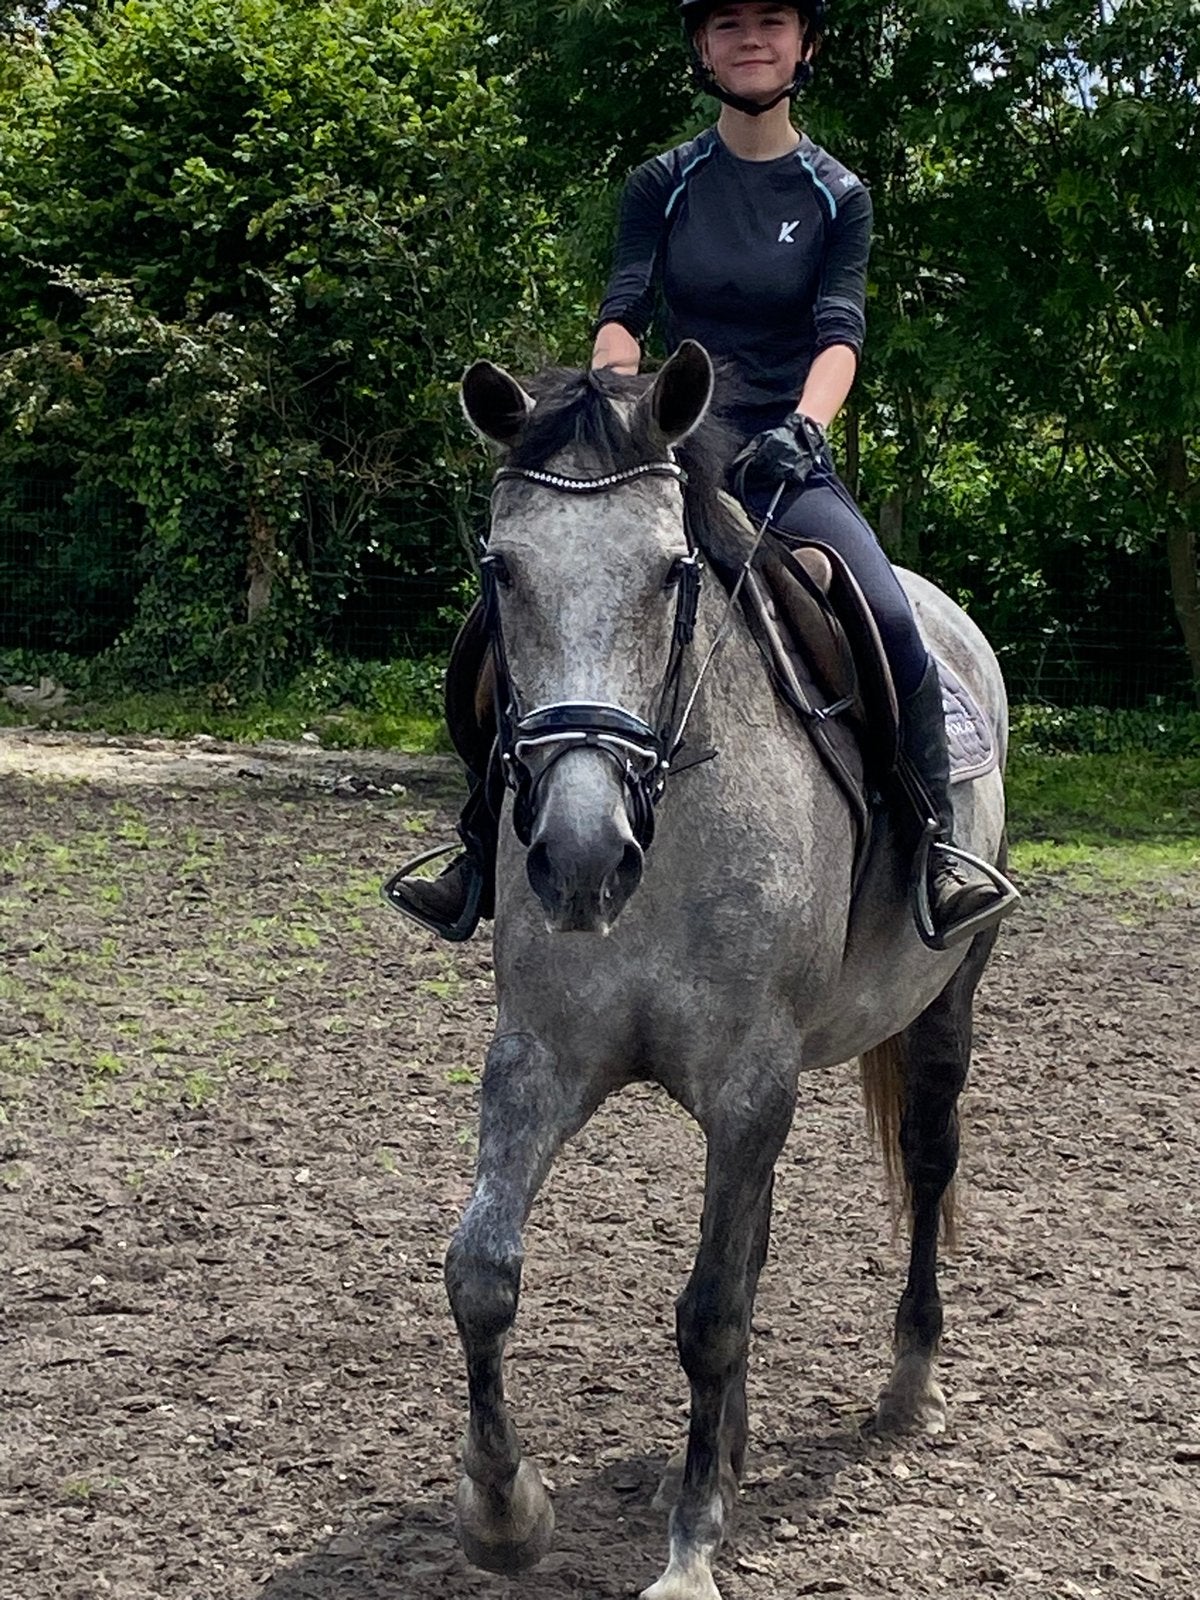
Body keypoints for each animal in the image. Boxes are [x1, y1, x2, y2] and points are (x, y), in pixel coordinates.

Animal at [439, 340, 1009, 1600]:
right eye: (502, 572)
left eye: (672, 573)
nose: (580, 859)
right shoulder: (537, 1059)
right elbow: (482, 1271)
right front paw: (506, 1511)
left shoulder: (752, 1083)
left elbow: (709, 1312)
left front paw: (693, 1545)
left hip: (944, 1001)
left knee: (927, 1162)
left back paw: (909, 1386)